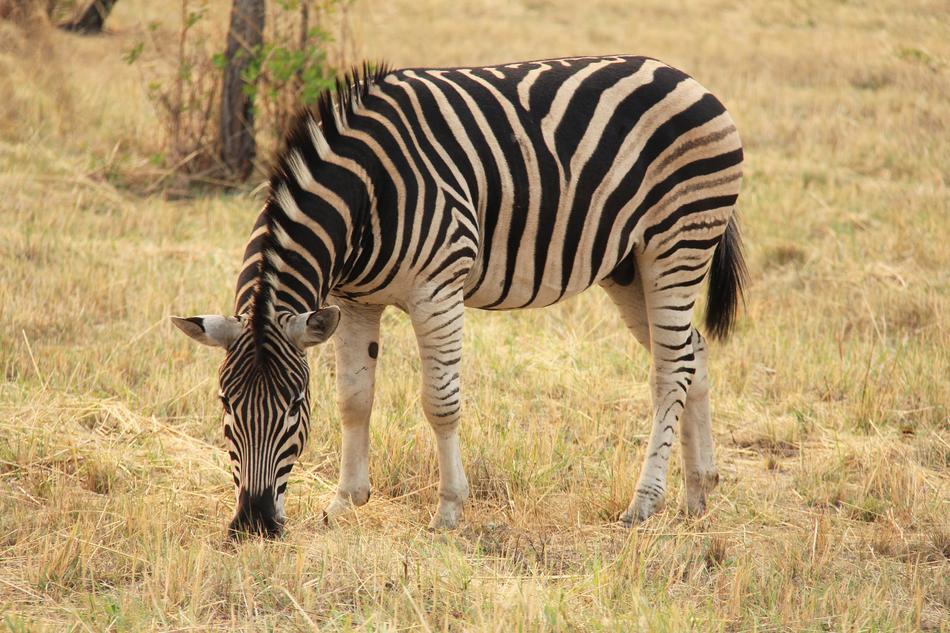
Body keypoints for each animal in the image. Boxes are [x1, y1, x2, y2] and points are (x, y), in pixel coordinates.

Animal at [171, 55, 746, 537]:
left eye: (293, 407)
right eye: (224, 404)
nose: (254, 524)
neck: (366, 194)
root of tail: (685, 76)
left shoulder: (437, 291)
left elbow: (439, 402)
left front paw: (449, 509)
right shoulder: (355, 301)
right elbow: (353, 398)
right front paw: (345, 501)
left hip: (678, 243)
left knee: (669, 371)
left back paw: (644, 502)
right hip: (629, 266)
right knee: (692, 353)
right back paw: (698, 494)